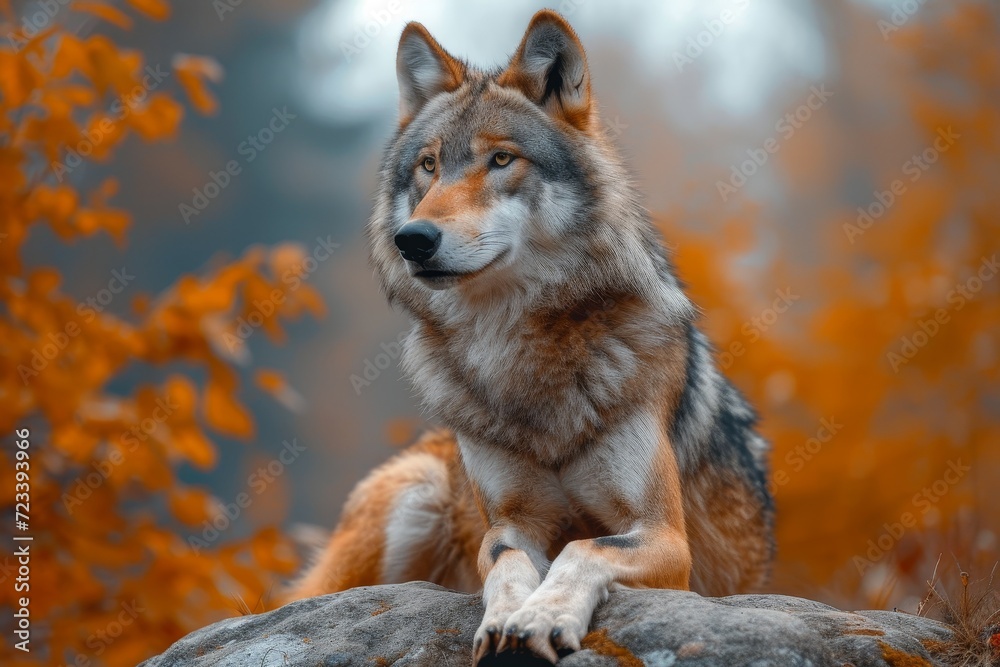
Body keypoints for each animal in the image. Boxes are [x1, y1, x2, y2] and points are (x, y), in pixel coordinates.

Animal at [289, 10, 774, 663]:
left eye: (501, 160)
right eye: (428, 166)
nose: (412, 239)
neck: (517, 346)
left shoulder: (665, 538)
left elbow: (583, 548)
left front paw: (541, 617)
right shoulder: (511, 523)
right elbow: (506, 562)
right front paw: (505, 619)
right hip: (413, 497)